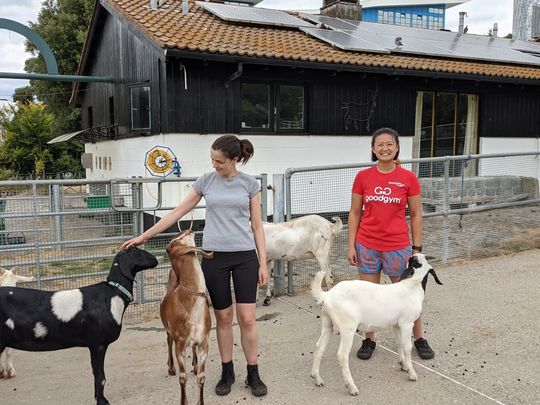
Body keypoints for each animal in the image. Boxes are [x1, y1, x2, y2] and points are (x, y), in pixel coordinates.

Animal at [0, 246, 158, 404]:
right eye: (137, 251)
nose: (156, 259)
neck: (112, 295)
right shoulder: (98, 344)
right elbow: (100, 377)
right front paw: (102, 401)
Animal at [160, 229, 213, 402]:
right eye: (168, 248)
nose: (187, 229)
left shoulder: (204, 342)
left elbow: (201, 377)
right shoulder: (180, 343)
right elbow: (182, 377)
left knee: (193, 348)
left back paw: (194, 365)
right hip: (169, 330)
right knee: (168, 341)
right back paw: (170, 368)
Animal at [310, 252, 440, 394]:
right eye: (416, 261)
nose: (415, 253)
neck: (412, 286)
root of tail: (327, 295)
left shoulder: (397, 324)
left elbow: (399, 343)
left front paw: (403, 365)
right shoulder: (407, 323)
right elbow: (407, 347)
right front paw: (412, 374)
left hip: (327, 322)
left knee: (319, 347)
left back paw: (317, 379)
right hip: (347, 327)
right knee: (342, 355)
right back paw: (352, 387)